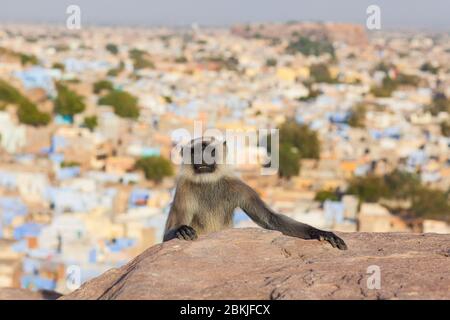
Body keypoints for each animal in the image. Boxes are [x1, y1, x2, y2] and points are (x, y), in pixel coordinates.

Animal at [163, 138, 346, 250]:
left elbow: (271, 219)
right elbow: (167, 236)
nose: (203, 158)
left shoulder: (239, 187)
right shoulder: (183, 190)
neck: (208, 181)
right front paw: (181, 230)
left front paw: (321, 233)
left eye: (211, 151)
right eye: (195, 152)